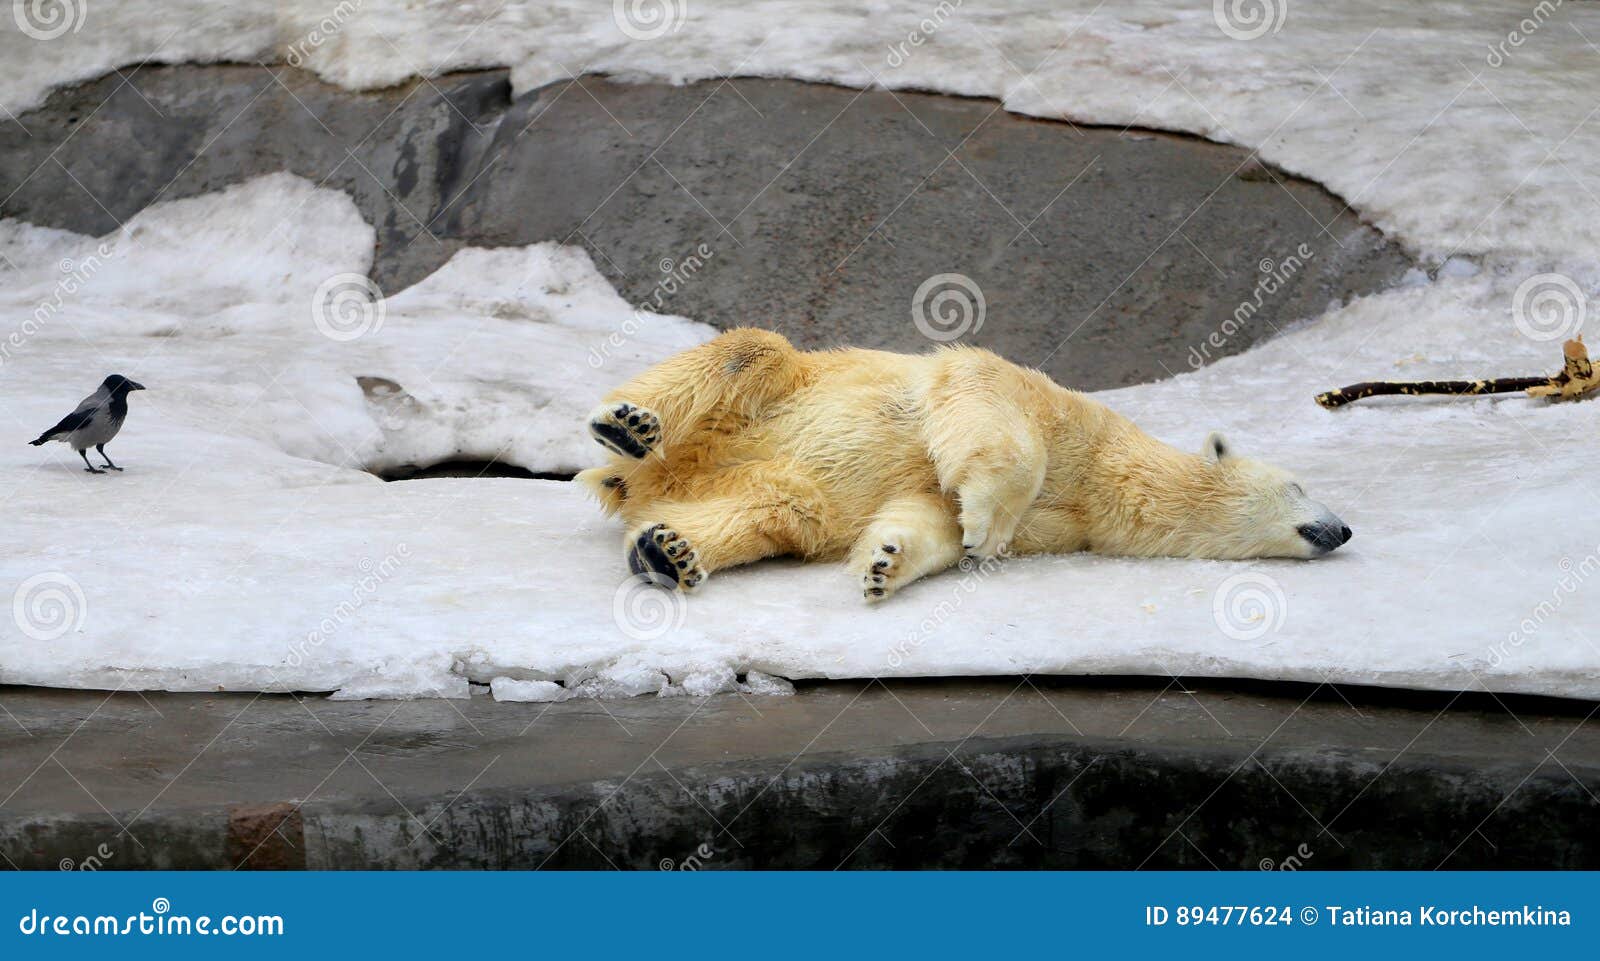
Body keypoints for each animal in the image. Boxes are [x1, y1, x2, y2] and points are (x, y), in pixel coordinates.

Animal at [576, 329, 1350, 601]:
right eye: (1300, 482)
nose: (1343, 528)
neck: (1102, 476)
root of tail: (655, 481)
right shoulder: (1047, 404)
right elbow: (986, 401)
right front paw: (987, 518)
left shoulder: (1057, 524)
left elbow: (929, 516)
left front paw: (886, 562)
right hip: (758, 403)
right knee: (749, 351)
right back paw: (628, 425)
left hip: (758, 484)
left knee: (772, 512)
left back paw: (667, 550)